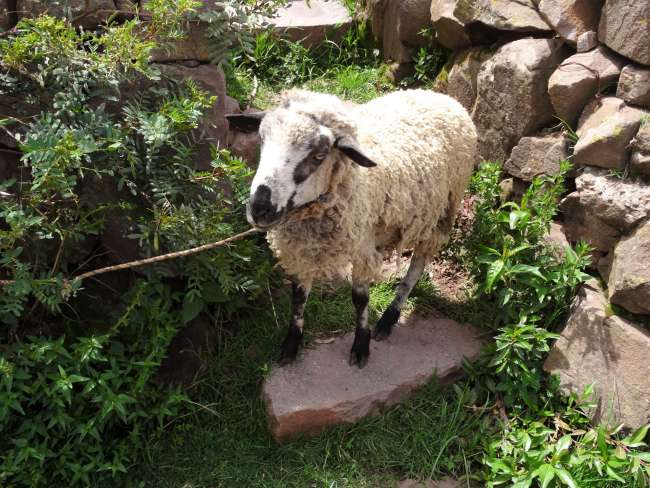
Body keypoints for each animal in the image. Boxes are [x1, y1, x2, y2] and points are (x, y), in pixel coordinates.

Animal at [227, 89, 476, 368]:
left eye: (319, 155)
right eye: (261, 140)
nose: (260, 208)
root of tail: (442, 97)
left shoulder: (361, 248)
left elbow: (360, 300)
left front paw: (361, 345)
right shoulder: (300, 251)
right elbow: (299, 296)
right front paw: (291, 344)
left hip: (443, 211)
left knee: (417, 266)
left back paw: (389, 317)